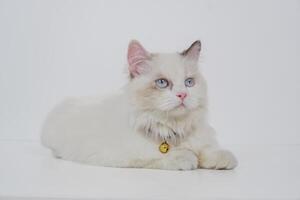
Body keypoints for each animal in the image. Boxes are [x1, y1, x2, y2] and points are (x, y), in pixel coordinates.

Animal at [40, 39, 237, 170]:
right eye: (162, 83)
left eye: (189, 82)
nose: (183, 94)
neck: (172, 129)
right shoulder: (122, 155)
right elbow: (159, 157)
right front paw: (188, 158)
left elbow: (207, 151)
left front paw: (222, 159)